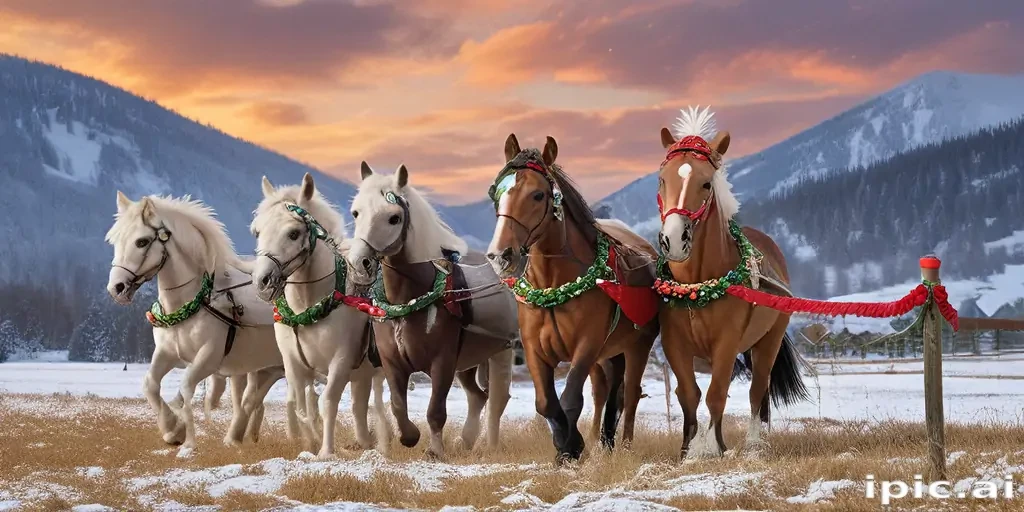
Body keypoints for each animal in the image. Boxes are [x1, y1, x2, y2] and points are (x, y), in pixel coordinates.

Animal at [105, 192, 295, 455]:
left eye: (141, 242)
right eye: (114, 241)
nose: (117, 287)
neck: (194, 303)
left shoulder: (209, 357)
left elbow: (186, 387)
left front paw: (183, 435)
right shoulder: (167, 353)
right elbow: (150, 384)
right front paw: (171, 428)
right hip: (261, 368)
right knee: (252, 400)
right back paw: (243, 436)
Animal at [251, 174, 391, 460]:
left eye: (293, 233)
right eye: (257, 231)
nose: (262, 281)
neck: (307, 309)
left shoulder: (340, 362)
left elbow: (328, 402)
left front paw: (326, 451)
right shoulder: (294, 364)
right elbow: (301, 407)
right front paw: (309, 444)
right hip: (363, 374)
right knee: (361, 407)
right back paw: (366, 442)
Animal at [344, 163, 516, 459]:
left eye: (394, 218)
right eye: (356, 212)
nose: (359, 263)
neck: (410, 299)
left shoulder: (443, 361)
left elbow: (436, 410)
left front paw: (435, 450)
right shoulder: (392, 362)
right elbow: (397, 405)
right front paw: (410, 436)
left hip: (501, 351)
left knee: (496, 400)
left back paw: (490, 446)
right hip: (468, 361)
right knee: (478, 396)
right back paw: (466, 440)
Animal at [483, 134, 660, 464]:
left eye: (538, 194)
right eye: (495, 192)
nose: (500, 254)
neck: (555, 287)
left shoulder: (586, 345)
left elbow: (569, 399)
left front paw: (571, 448)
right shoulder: (534, 348)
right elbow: (545, 403)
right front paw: (568, 444)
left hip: (638, 344)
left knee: (630, 393)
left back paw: (624, 445)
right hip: (609, 353)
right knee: (607, 391)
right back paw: (603, 439)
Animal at [653, 106, 812, 459]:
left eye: (705, 183)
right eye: (662, 179)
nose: (673, 240)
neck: (696, 287)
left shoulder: (726, 343)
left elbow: (716, 394)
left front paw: (715, 447)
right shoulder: (674, 345)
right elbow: (689, 394)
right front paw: (689, 450)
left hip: (768, 340)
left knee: (758, 389)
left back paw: (754, 442)